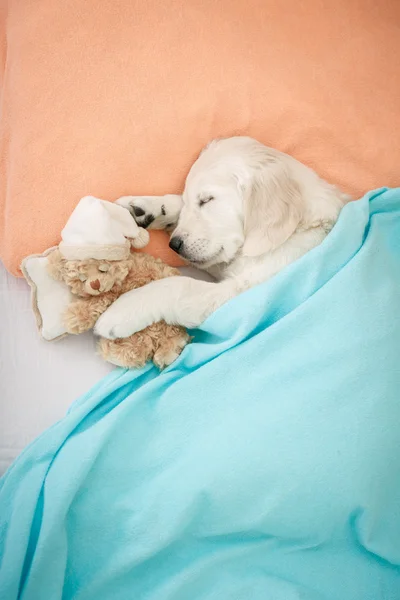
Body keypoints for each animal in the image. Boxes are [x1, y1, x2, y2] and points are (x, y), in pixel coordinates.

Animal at [95, 138, 348, 340]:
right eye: (194, 199)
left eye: (207, 200)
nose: (174, 245)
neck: (301, 228)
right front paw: (147, 209)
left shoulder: (244, 295)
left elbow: (179, 285)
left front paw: (121, 310)